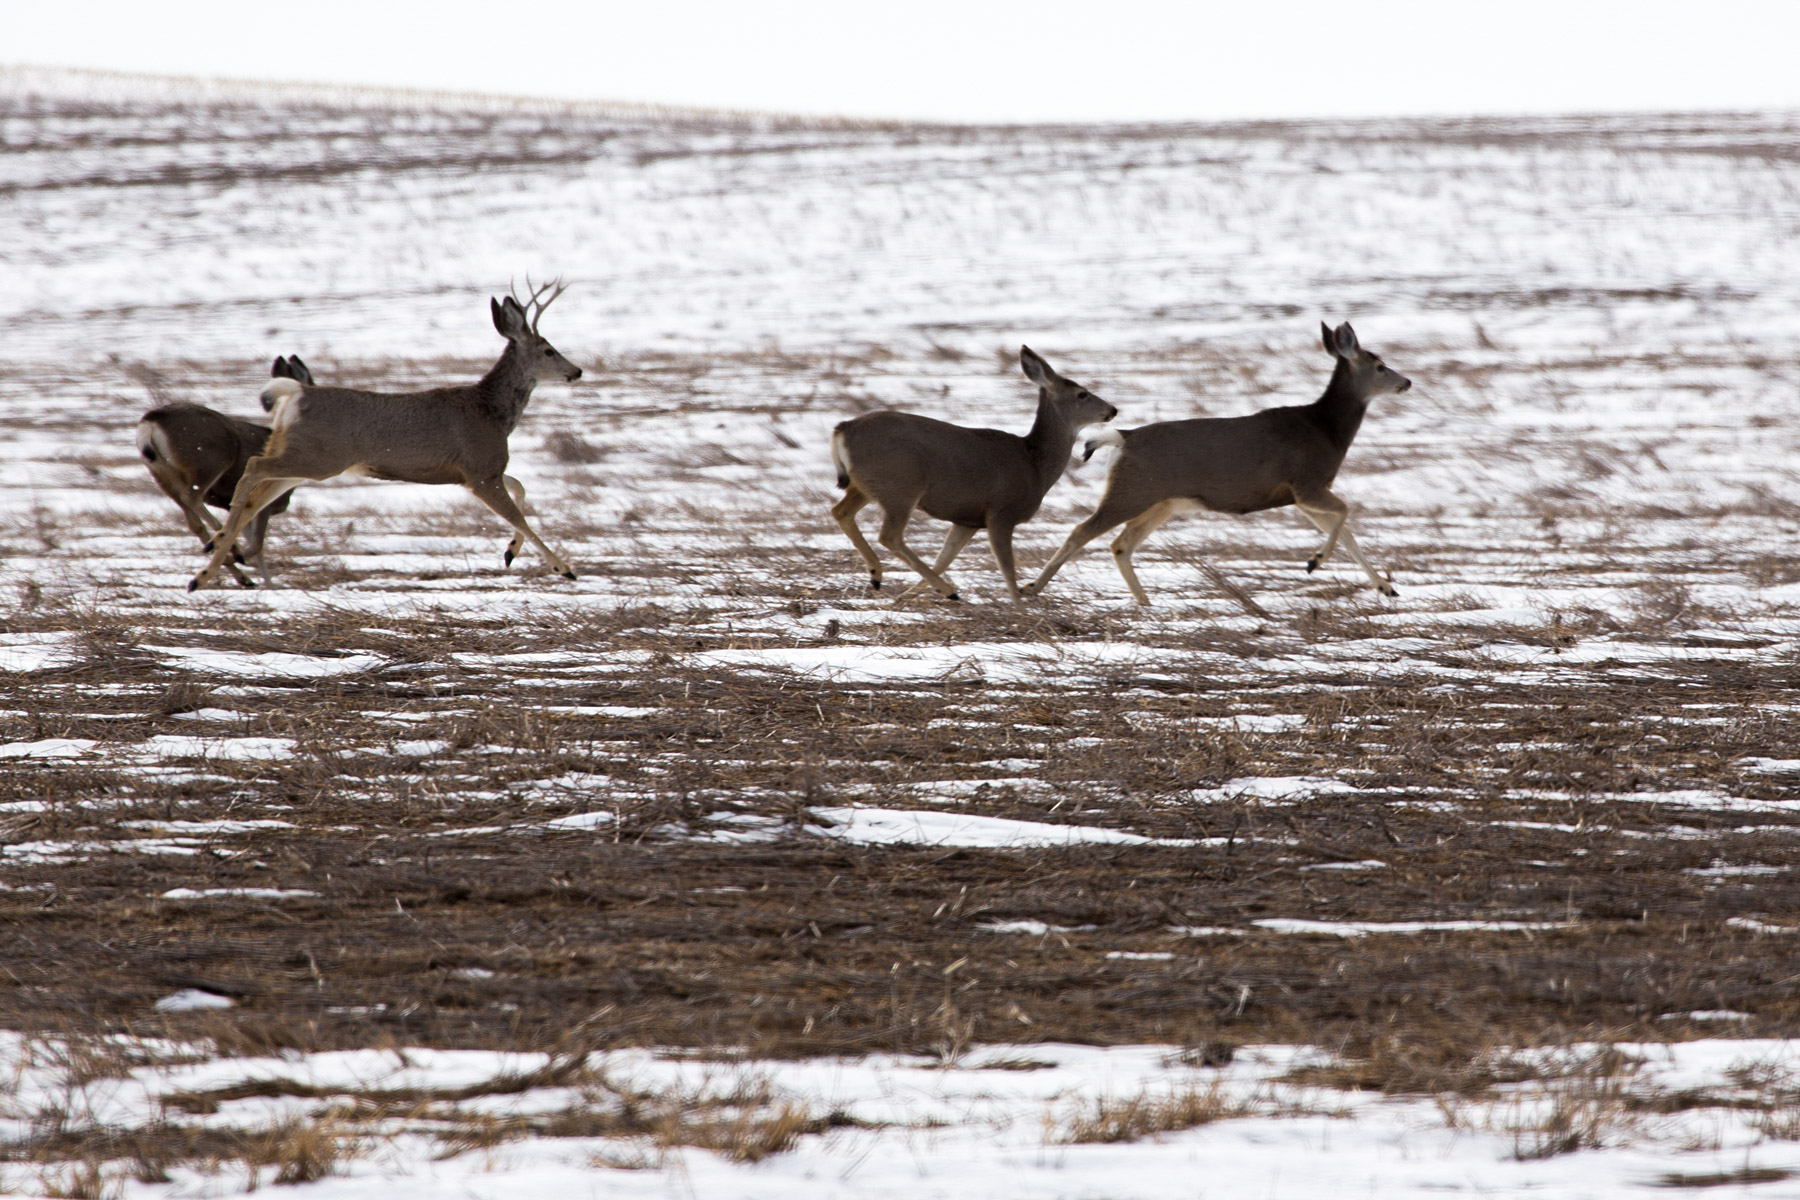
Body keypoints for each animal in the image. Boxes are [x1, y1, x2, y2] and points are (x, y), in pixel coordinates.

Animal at [135, 354, 315, 590]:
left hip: (161, 474)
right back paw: (232, 554)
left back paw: (240, 575)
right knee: (192, 497)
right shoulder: (261, 499)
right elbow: (257, 544)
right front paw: (266, 581)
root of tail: (150, 422)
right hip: (211, 459)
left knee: (193, 522)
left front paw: (266, 582)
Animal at [183, 287, 579, 597]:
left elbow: (521, 488)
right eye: (549, 350)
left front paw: (510, 552)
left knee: (258, 492)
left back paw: (207, 566)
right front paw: (563, 567)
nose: (576, 371)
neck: (492, 414)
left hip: (303, 457)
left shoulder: (473, 472)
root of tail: (296, 394)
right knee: (253, 470)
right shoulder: (480, 469)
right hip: (319, 458)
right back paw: (215, 553)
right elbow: (519, 515)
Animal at [824, 349, 1108, 611]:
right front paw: (1020, 609)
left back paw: (879, 576)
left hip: (867, 485)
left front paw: (904, 597)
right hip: (901, 484)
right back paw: (942, 588)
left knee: (841, 511)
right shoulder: (1001, 511)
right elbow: (1006, 566)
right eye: (1082, 393)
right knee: (889, 535)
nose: (1112, 410)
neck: (1035, 465)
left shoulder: (967, 520)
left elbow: (945, 557)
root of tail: (843, 429)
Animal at [1022, 318, 1411, 604]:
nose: (1406, 381)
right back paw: (1032, 588)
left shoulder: (1300, 496)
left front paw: (1386, 587)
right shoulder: (1306, 482)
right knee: (1082, 530)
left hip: (1160, 501)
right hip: (1132, 491)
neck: (1326, 429)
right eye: (1380, 366)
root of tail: (1123, 437)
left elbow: (1346, 533)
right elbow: (1345, 513)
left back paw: (1145, 603)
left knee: (1121, 544)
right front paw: (1314, 562)